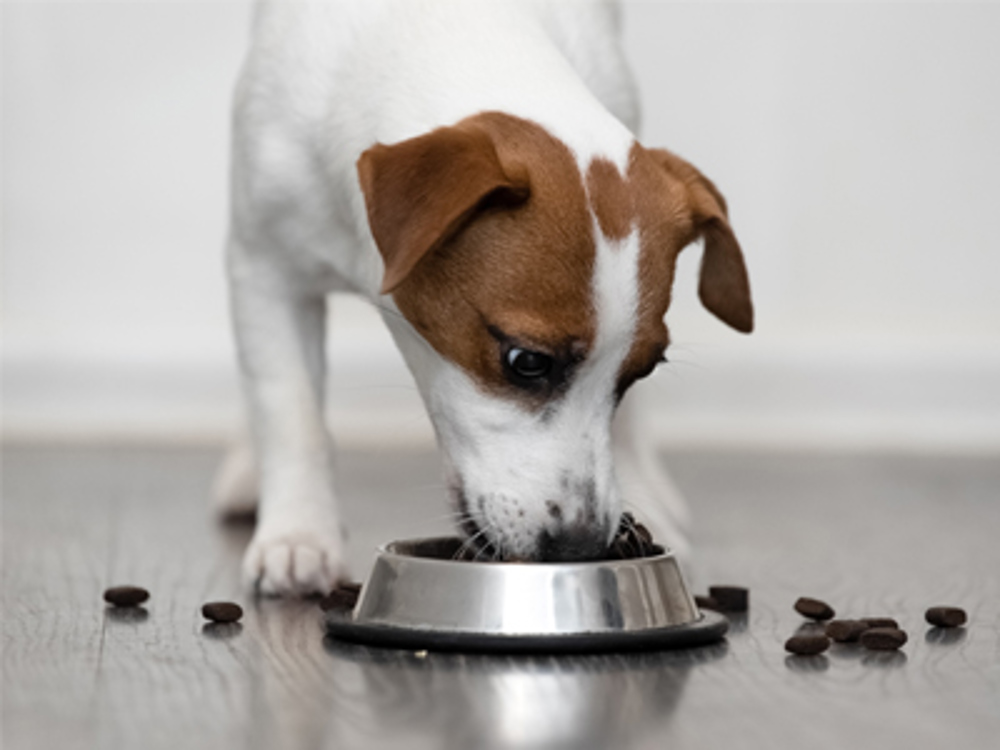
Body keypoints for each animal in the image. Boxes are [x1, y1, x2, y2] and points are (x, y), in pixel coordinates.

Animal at [215, 1, 752, 600]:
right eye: (527, 361)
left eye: (643, 371)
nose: (579, 546)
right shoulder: (265, 268)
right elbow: (291, 413)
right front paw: (299, 532)